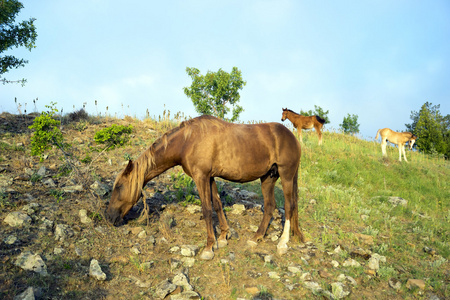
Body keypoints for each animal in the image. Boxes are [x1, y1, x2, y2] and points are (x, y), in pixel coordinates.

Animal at [105, 115, 302, 260]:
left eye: (119, 186)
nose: (109, 217)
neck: (187, 141)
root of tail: (292, 137)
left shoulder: (201, 177)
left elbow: (207, 209)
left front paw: (209, 247)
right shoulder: (210, 177)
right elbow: (217, 205)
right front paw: (223, 237)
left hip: (286, 175)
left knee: (289, 206)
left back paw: (282, 243)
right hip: (268, 177)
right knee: (269, 207)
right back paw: (256, 238)